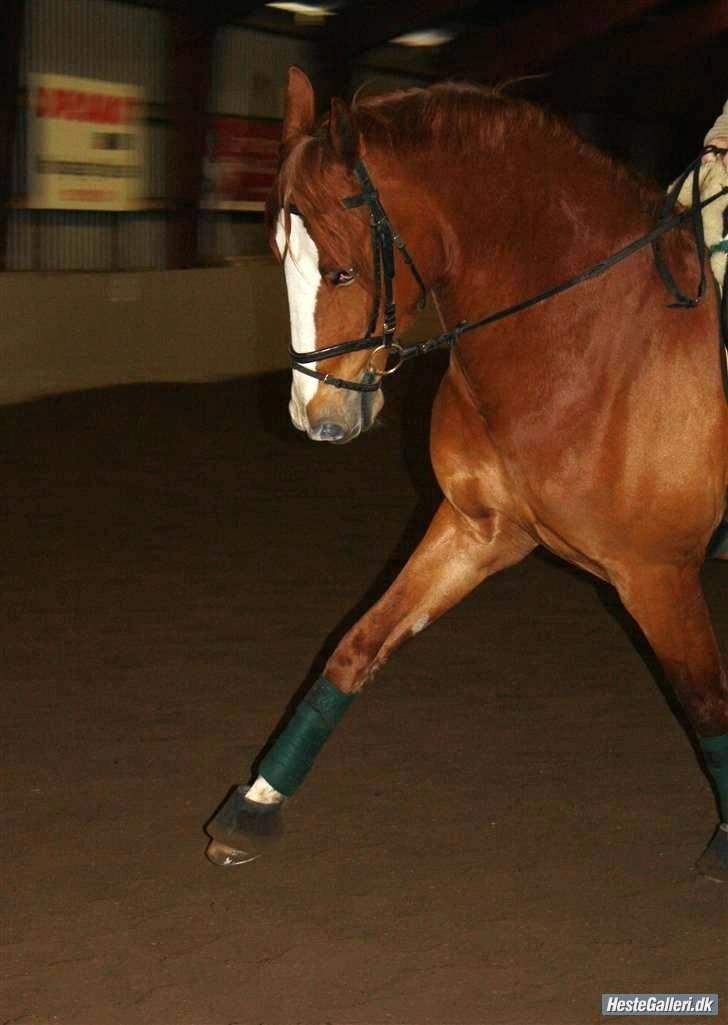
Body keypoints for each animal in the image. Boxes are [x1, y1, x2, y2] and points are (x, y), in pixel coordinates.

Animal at [205, 67, 728, 880]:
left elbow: (705, 701)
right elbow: (357, 647)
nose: (315, 416)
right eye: (275, 256)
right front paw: (256, 803)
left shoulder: (658, 573)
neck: (592, 339)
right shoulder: (480, 528)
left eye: (343, 270)